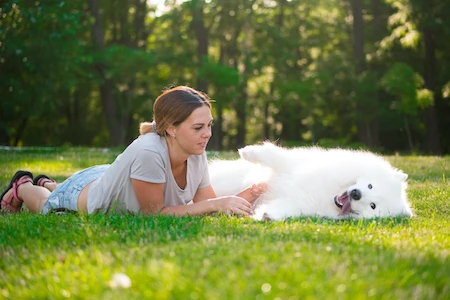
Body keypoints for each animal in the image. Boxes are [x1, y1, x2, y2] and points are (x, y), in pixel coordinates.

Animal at [209, 142, 414, 221]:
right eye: (370, 185)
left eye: (372, 206)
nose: (356, 194)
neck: (328, 193)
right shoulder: (291, 165)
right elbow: (273, 155)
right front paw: (248, 152)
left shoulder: (298, 203)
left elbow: (281, 208)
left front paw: (267, 215)